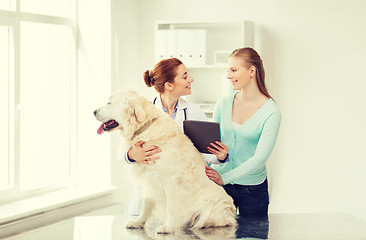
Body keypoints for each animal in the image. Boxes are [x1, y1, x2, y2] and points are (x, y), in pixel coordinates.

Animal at [93, 90, 237, 234]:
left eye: (109, 103)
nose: (93, 111)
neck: (144, 129)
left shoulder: (171, 181)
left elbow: (172, 208)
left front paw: (168, 227)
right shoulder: (149, 178)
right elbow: (146, 205)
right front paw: (138, 222)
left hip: (212, 206)